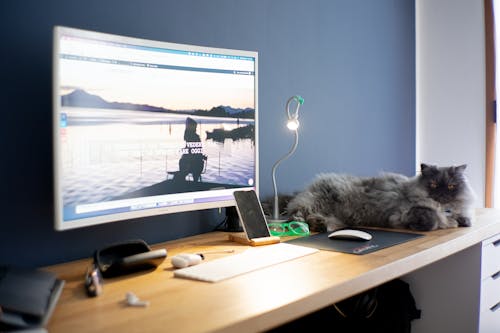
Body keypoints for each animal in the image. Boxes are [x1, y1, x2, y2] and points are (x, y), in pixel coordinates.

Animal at [286, 163, 476, 231]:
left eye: (451, 186)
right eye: (434, 184)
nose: (442, 193)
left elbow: (464, 218)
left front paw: (462, 221)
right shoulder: (405, 213)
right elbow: (431, 219)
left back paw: (321, 225)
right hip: (316, 203)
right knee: (297, 215)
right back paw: (312, 225)